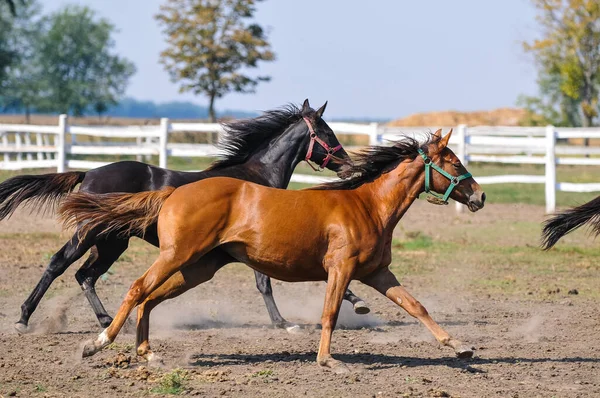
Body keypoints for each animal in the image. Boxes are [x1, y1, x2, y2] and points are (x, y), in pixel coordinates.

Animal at [59, 129, 482, 372]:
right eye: (453, 161)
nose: (480, 195)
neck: (367, 206)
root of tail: (173, 192)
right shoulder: (340, 269)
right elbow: (330, 313)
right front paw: (328, 360)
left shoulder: (377, 273)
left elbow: (416, 306)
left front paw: (460, 347)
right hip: (174, 256)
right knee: (134, 288)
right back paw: (97, 343)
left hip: (197, 269)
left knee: (149, 298)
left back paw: (148, 353)